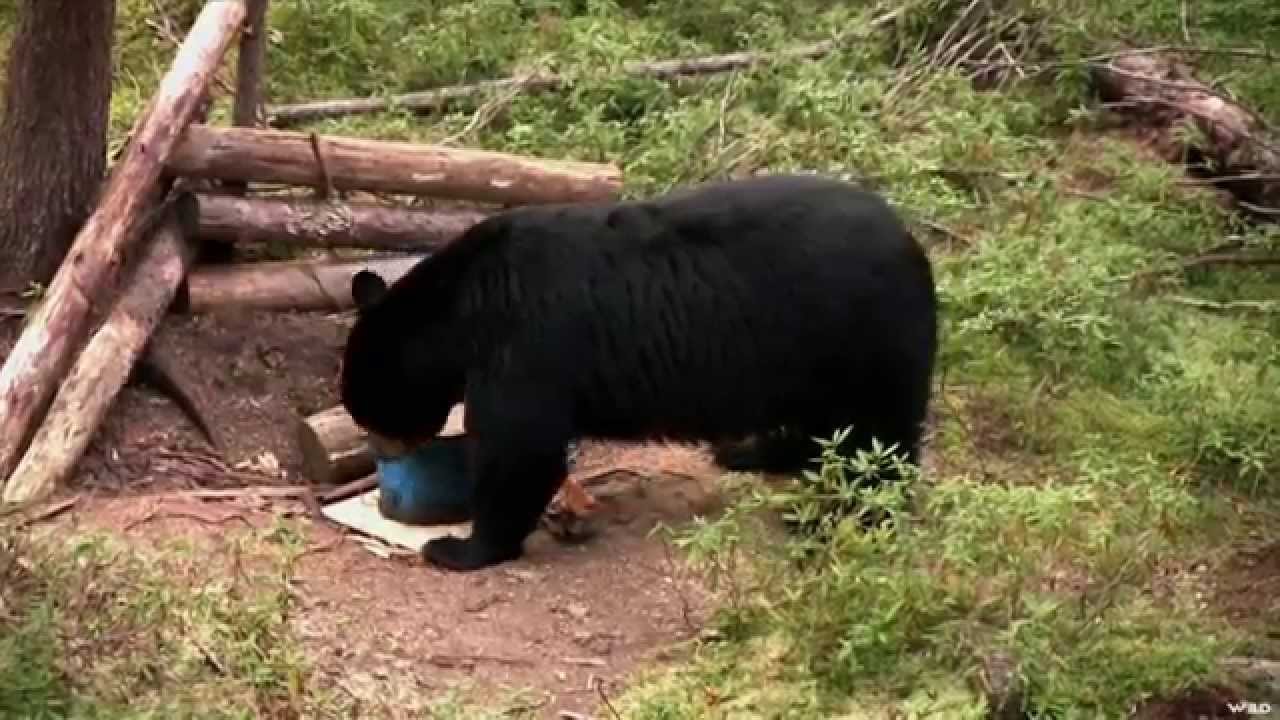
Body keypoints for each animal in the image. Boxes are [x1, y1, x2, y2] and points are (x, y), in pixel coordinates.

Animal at [341, 173, 938, 572]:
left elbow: (519, 449)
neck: (461, 309)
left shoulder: (526, 346)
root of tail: (912, 243)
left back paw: (855, 517)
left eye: (371, 411)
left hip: (858, 333)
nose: (383, 455)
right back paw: (750, 452)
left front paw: (460, 547)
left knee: (878, 435)